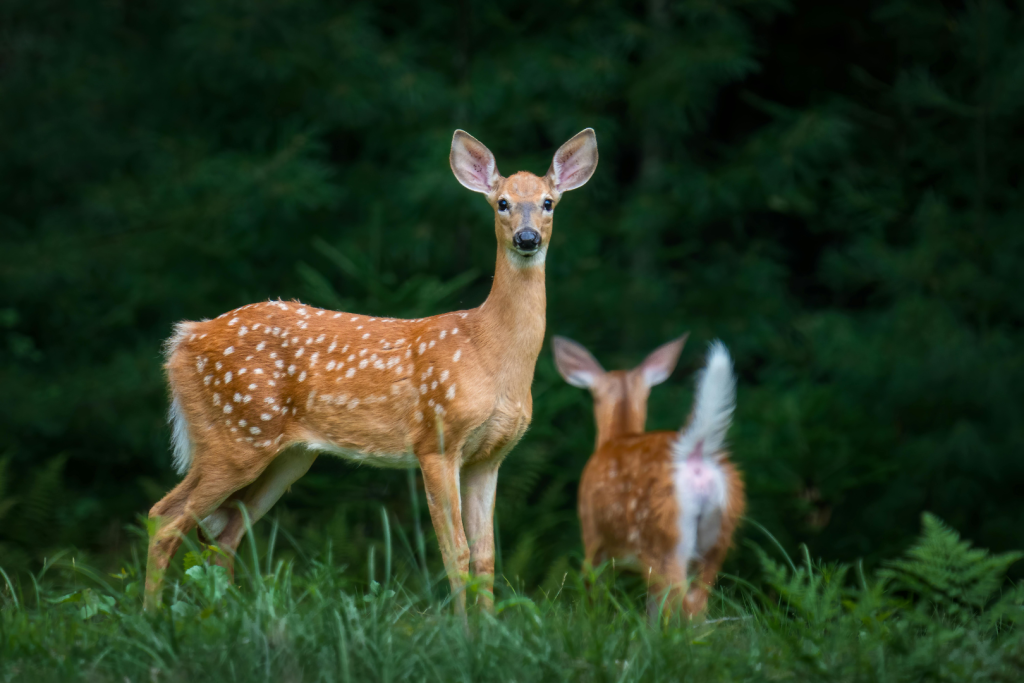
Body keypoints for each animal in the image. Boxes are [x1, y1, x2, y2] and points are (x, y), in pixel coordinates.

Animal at [145, 128, 599, 615]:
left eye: (549, 202)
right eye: (502, 203)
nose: (527, 237)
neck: (490, 353)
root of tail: (183, 340)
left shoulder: (490, 456)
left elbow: (486, 556)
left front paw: (489, 628)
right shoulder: (436, 440)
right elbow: (454, 550)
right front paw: (461, 630)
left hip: (286, 454)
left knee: (223, 531)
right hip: (234, 436)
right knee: (165, 517)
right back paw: (151, 617)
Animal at [552, 334, 745, 619]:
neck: (617, 437)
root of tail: (695, 454)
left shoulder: (592, 534)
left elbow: (594, 591)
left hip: (664, 537)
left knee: (679, 603)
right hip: (719, 536)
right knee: (696, 603)